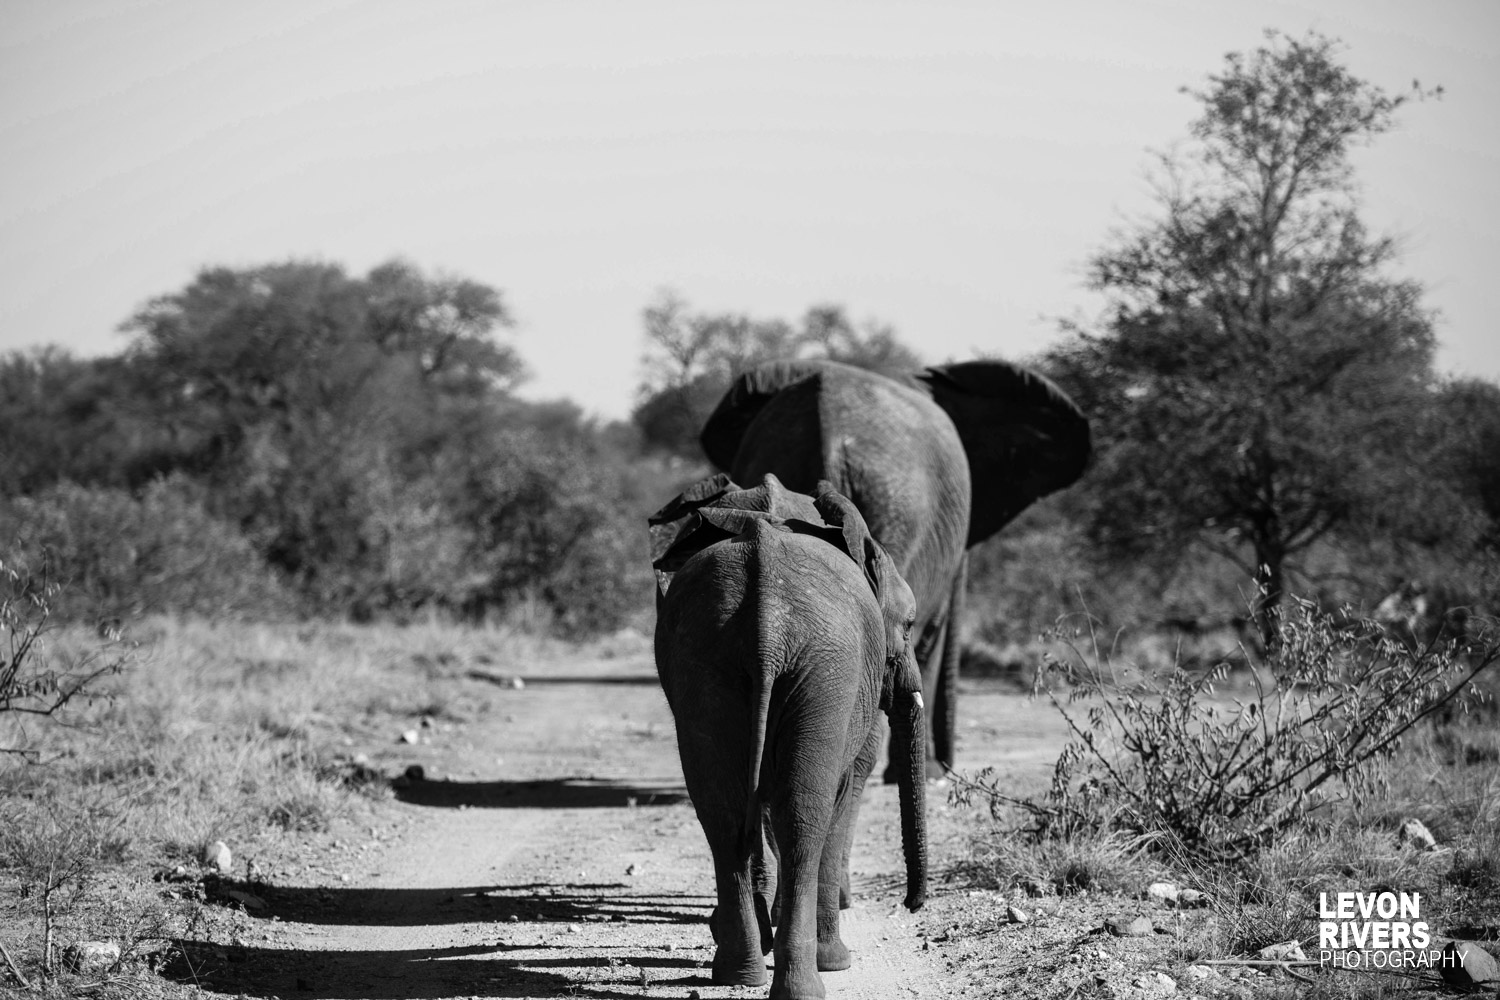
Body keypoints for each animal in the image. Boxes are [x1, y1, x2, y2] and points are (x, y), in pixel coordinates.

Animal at [650, 473, 927, 1000]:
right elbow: (839, 796)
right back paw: (806, 979)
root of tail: (767, 618)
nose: (913, 906)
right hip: (825, 666)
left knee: (723, 809)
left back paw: (737, 972)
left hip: (707, 656)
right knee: (804, 814)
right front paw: (837, 962)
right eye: (909, 624)